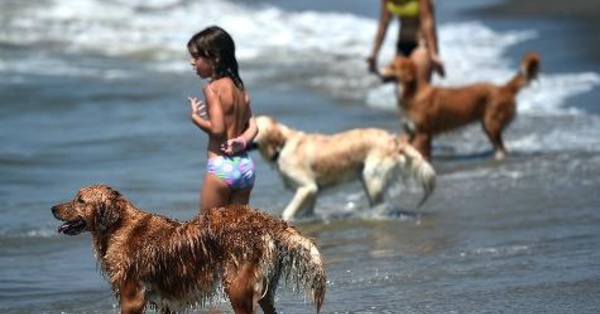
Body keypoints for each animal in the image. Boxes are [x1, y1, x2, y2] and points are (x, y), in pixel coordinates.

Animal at [50, 185, 328, 312]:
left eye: (80, 200)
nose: (52, 208)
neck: (119, 227)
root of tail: (262, 218)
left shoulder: (132, 298)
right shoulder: (163, 302)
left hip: (237, 287)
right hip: (264, 292)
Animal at [248, 115, 436, 221]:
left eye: (250, 125)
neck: (282, 144)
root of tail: (394, 140)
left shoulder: (307, 187)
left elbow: (288, 211)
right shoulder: (313, 192)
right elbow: (308, 210)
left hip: (371, 177)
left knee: (380, 205)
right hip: (366, 178)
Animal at [382, 52, 540, 159]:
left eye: (392, 67)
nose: (379, 72)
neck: (412, 93)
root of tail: (504, 88)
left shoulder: (423, 133)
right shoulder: (410, 132)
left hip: (492, 123)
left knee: (502, 148)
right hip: (487, 126)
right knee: (499, 146)